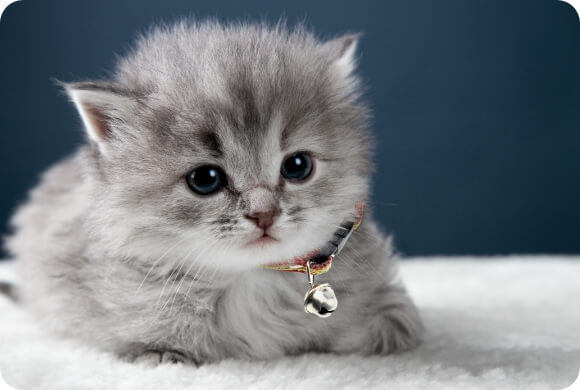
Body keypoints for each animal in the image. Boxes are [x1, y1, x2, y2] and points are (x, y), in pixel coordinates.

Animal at [3, 20, 422, 362]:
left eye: (298, 166)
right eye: (205, 179)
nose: (264, 214)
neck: (254, 282)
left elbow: (391, 324)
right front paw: (162, 353)